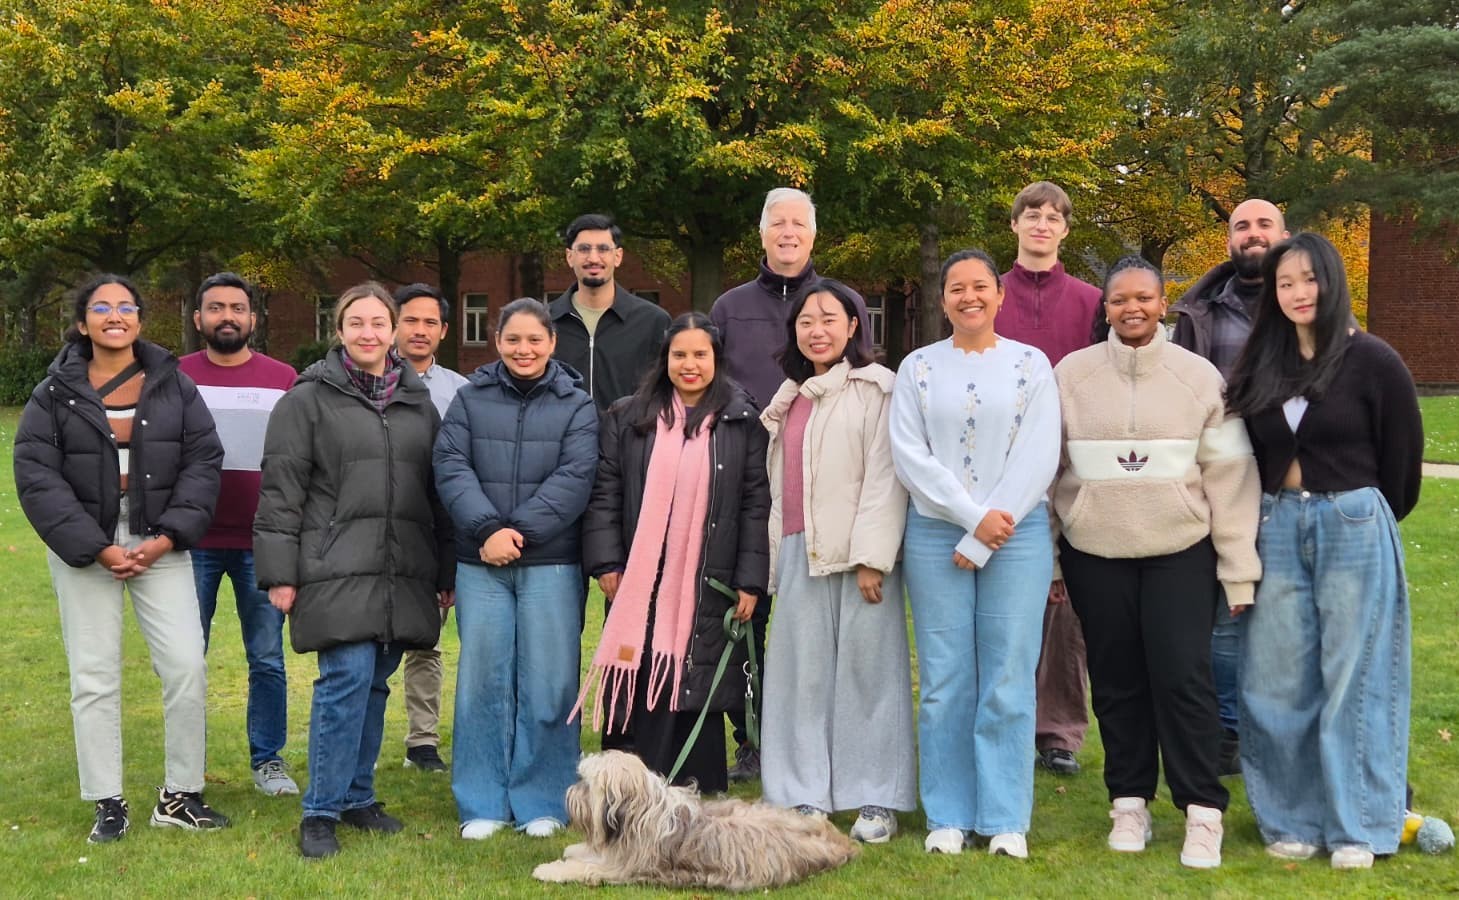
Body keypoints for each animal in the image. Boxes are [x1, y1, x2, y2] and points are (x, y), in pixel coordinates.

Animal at [532, 751, 858, 891]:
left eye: (587, 784)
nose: (570, 792)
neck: (640, 811)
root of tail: (838, 844)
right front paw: (575, 850)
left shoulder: (623, 867)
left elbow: (585, 868)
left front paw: (550, 869)